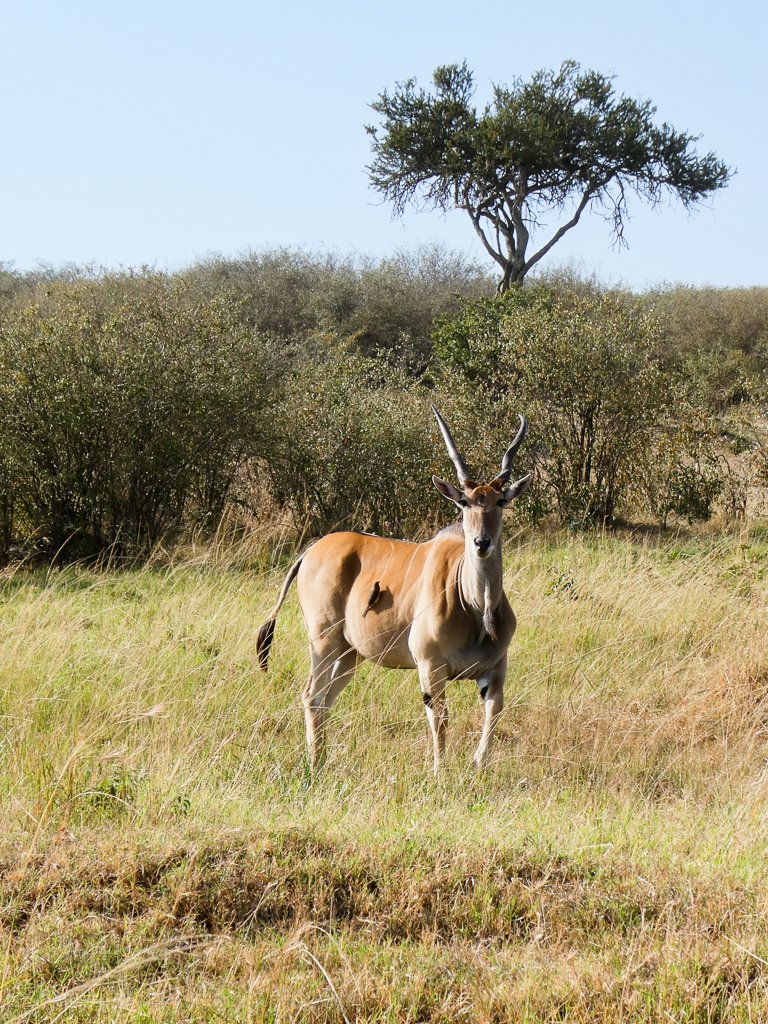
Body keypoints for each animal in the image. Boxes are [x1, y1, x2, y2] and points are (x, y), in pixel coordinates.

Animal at [256, 403, 532, 770]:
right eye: (464, 503)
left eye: (501, 502)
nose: (481, 542)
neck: (477, 608)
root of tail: (311, 550)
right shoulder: (430, 668)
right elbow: (440, 720)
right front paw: (439, 773)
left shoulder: (495, 670)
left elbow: (493, 713)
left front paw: (478, 768)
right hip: (323, 643)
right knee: (312, 695)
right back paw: (315, 765)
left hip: (349, 654)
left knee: (325, 699)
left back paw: (323, 761)